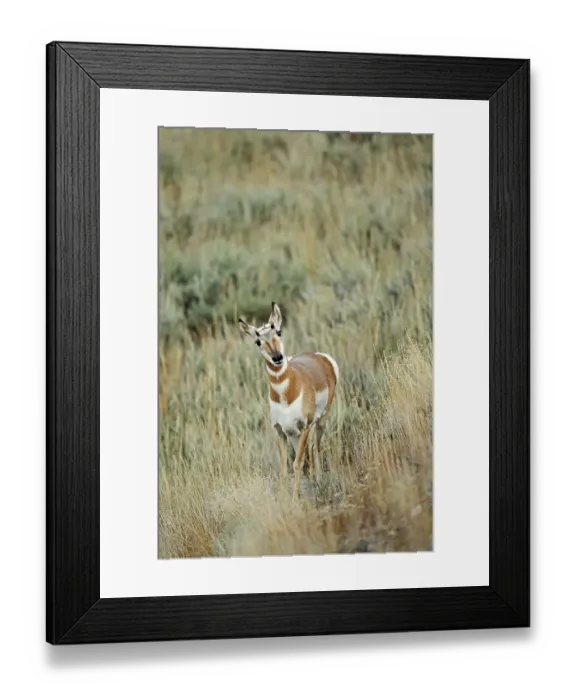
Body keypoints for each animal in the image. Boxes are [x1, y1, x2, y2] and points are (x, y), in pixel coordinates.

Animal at [239, 302, 339, 501]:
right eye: (257, 341)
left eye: (278, 331)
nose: (277, 357)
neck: (287, 396)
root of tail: (320, 357)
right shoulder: (281, 432)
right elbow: (284, 469)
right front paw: (284, 498)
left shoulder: (305, 426)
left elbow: (297, 463)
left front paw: (294, 499)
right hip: (295, 433)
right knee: (310, 449)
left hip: (319, 422)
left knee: (316, 448)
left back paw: (319, 480)